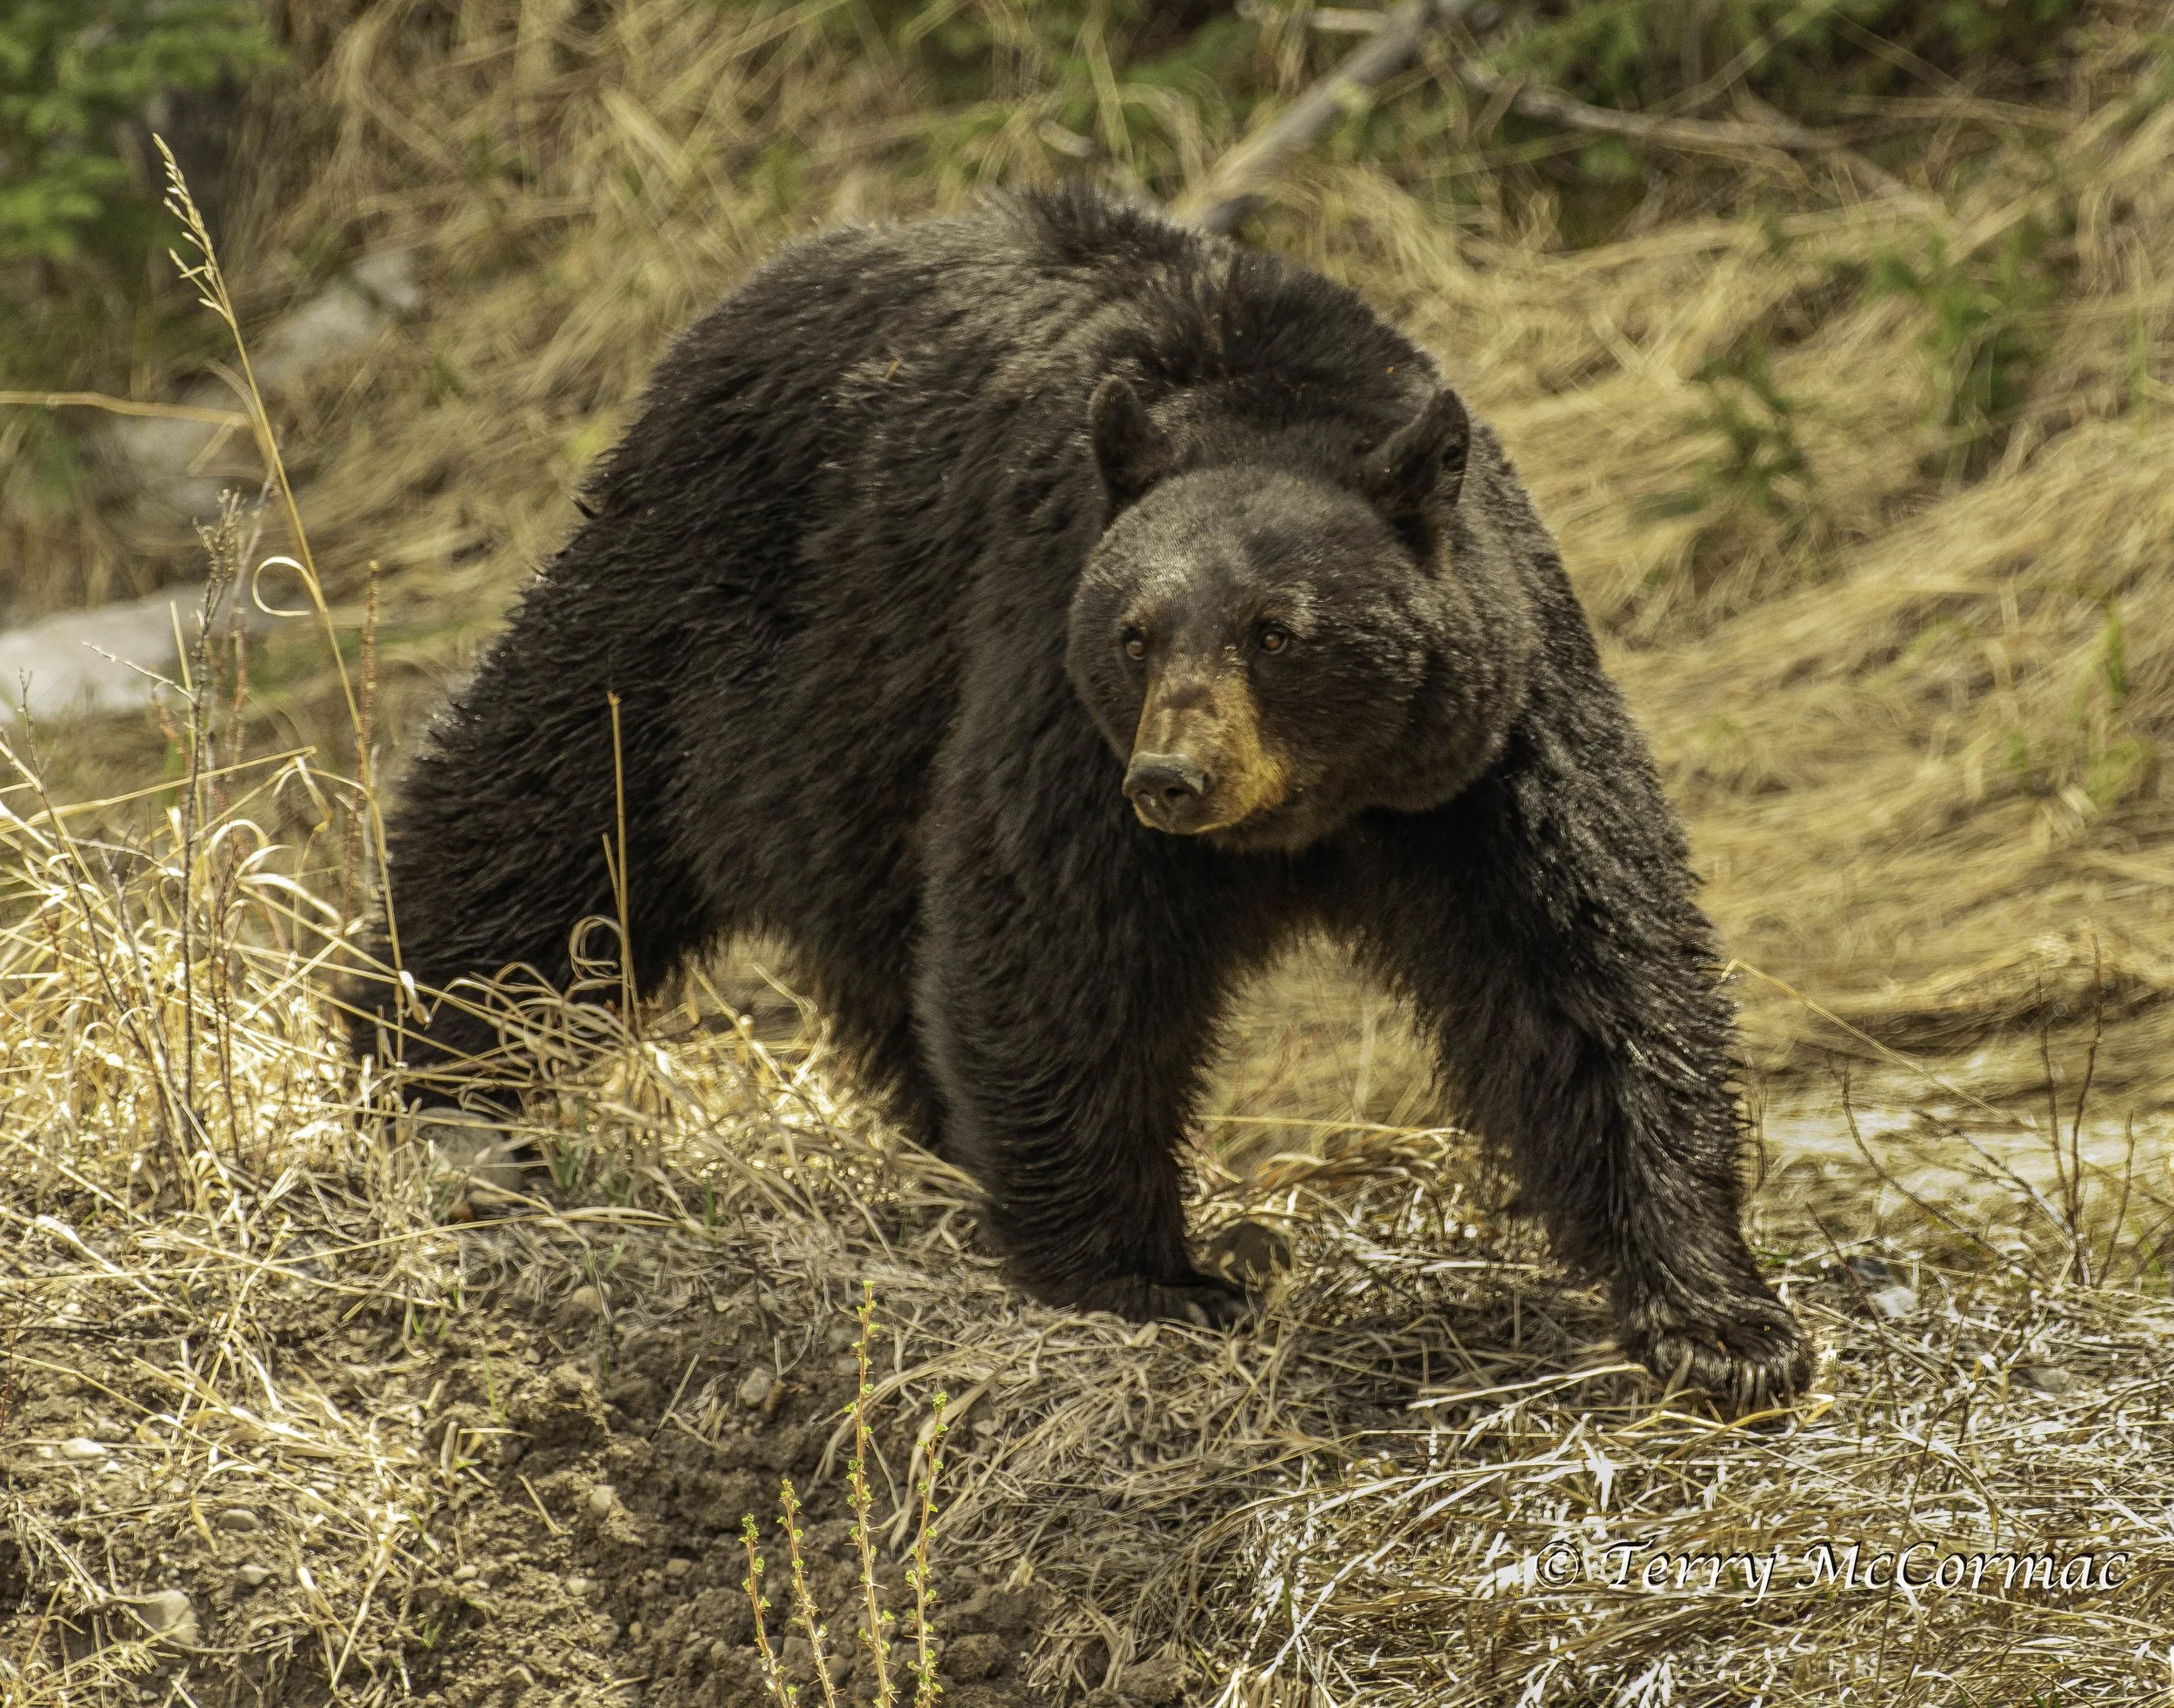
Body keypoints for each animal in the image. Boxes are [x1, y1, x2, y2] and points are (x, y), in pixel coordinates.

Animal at [356, 183, 1811, 1405]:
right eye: (1136, 631)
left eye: (1277, 631)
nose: (1173, 779)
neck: (1317, 806)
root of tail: (754, 285)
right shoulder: (1053, 678)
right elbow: (1060, 950)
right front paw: (1150, 1276)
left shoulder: (1488, 751)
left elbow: (1586, 968)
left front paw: (1722, 1323)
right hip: (718, 599)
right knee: (549, 805)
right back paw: (437, 1073)